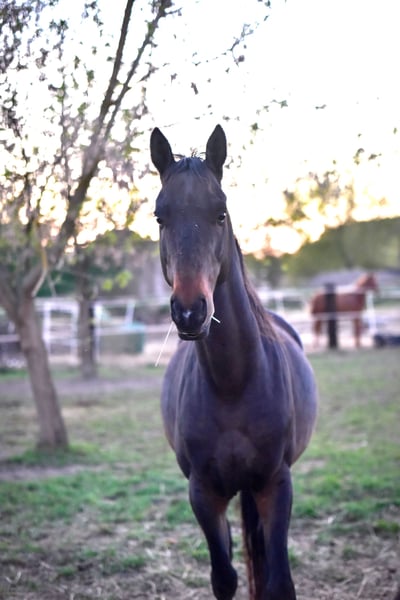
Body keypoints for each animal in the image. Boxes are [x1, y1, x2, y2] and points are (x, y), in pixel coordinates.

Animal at [150, 124, 318, 600]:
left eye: (220, 214)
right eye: (160, 217)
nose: (190, 312)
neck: (233, 383)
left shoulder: (275, 485)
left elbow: (279, 582)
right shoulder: (203, 494)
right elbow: (223, 577)